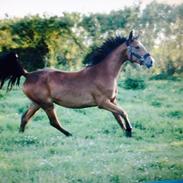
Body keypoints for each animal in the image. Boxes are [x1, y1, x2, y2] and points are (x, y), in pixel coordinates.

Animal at [0, 30, 154, 137]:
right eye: (137, 47)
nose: (150, 62)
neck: (104, 73)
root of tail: (28, 74)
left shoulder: (112, 101)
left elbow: (119, 117)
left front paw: (126, 132)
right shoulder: (103, 103)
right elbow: (123, 112)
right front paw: (129, 130)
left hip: (37, 103)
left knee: (25, 118)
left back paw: (21, 136)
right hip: (47, 104)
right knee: (53, 122)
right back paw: (69, 134)